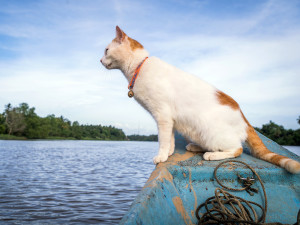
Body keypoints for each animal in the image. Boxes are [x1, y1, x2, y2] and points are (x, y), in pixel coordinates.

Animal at [100, 26, 300, 174]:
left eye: (106, 50)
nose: (100, 60)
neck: (138, 67)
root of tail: (244, 118)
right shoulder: (169, 119)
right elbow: (170, 140)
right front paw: (169, 153)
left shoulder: (163, 116)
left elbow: (163, 140)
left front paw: (161, 156)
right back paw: (196, 147)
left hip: (209, 129)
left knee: (238, 149)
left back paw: (212, 155)